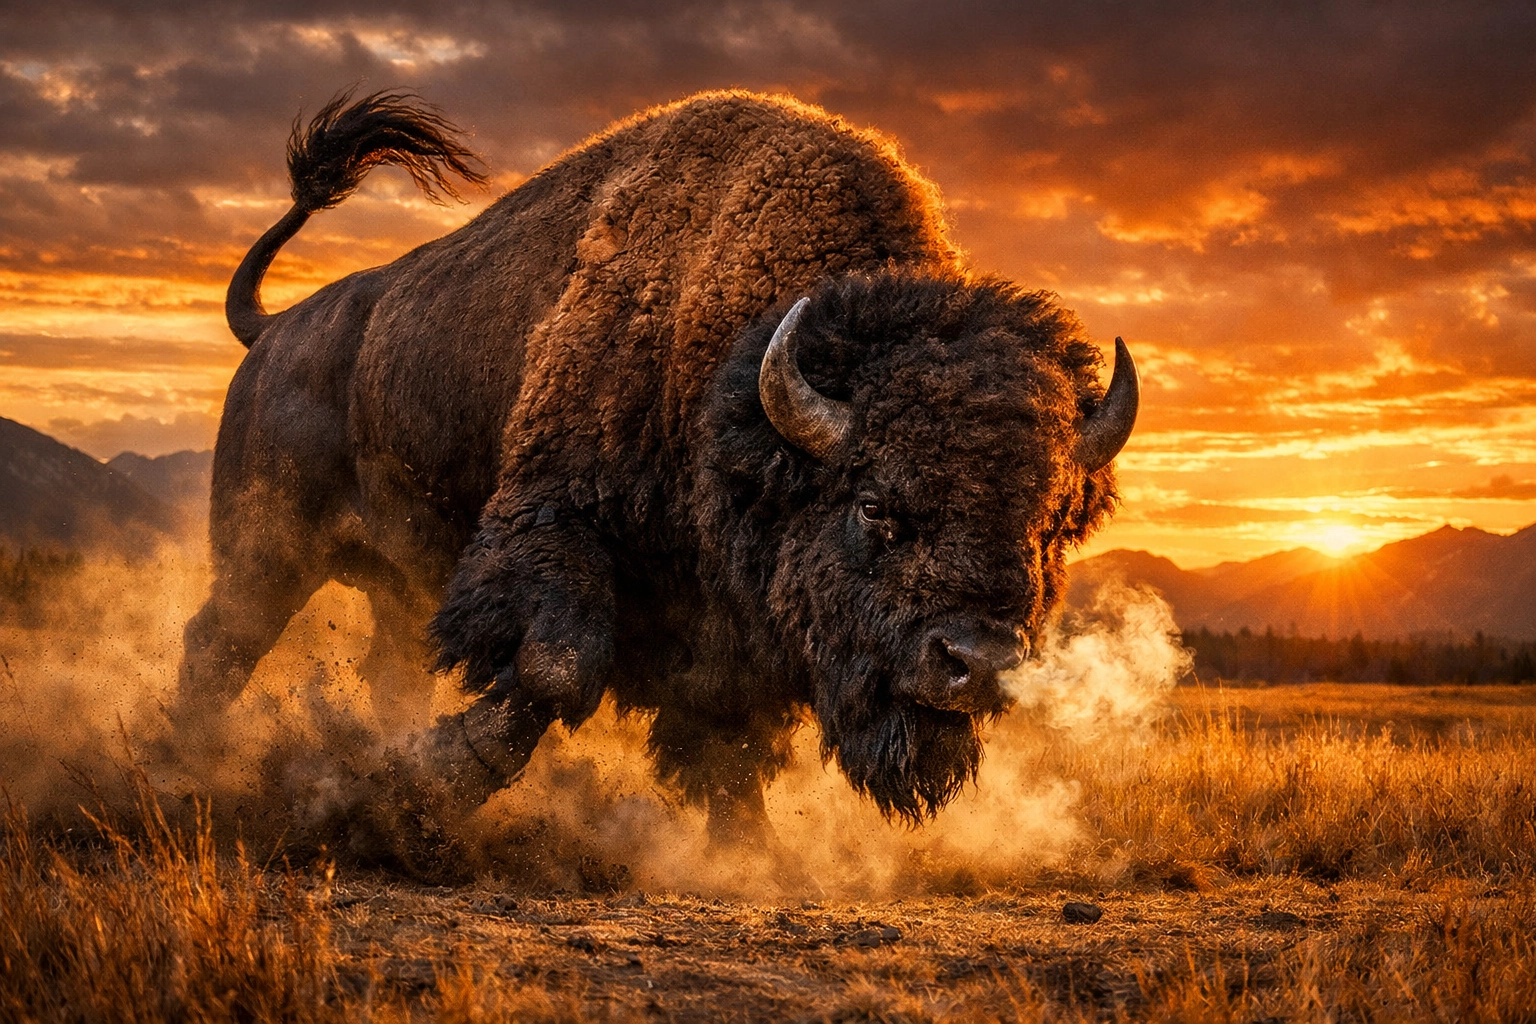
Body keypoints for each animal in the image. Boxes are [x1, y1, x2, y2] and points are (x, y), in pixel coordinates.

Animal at [173, 89, 1137, 840]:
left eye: (1051, 524)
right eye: (873, 505)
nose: (976, 664)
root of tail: (275, 331)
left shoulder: (730, 637)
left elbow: (731, 747)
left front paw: (751, 855)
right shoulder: (555, 529)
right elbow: (558, 668)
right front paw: (435, 785)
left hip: (389, 580)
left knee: (383, 666)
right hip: (267, 553)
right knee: (221, 643)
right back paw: (182, 761)